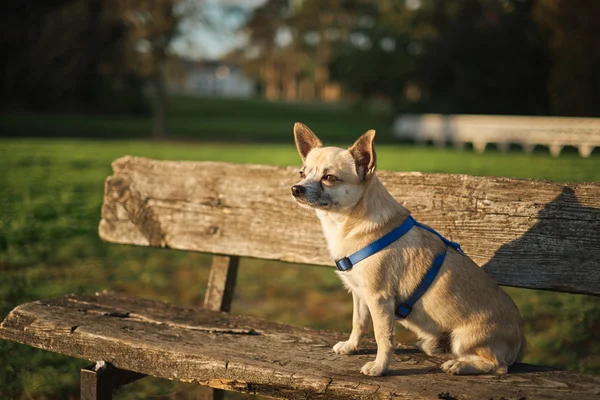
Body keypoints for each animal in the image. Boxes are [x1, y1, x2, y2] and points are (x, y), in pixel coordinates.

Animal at [290, 121, 524, 376]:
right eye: (302, 173)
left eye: (329, 177)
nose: (296, 188)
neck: (343, 225)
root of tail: (520, 342)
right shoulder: (360, 295)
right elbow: (358, 323)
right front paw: (351, 346)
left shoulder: (379, 299)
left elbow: (383, 336)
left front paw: (380, 367)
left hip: (465, 339)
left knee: (499, 366)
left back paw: (460, 365)